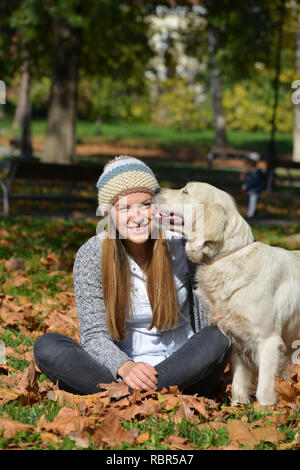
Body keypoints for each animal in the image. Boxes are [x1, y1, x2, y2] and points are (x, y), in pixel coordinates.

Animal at [154, 182, 298, 406]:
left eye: (186, 191)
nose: (155, 190)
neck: (227, 257)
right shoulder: (236, 338)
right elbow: (238, 383)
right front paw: (237, 408)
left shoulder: (269, 341)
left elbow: (264, 388)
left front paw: (264, 412)